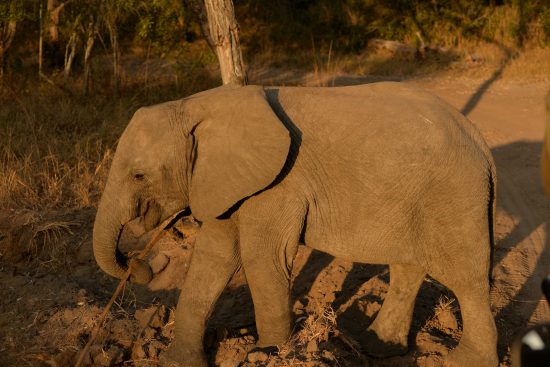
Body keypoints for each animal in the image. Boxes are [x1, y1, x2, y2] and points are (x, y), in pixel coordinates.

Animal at [94, 83, 500, 367]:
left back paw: (464, 361)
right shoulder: (226, 182)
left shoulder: (278, 185)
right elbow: (213, 260)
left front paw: (268, 353)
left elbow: (260, 259)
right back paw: (376, 347)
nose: (140, 266)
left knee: (467, 278)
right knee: (408, 268)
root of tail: (480, 142)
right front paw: (178, 362)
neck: (196, 106)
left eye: (138, 175)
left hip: (454, 194)